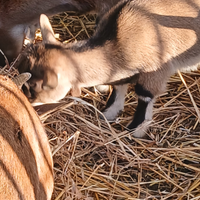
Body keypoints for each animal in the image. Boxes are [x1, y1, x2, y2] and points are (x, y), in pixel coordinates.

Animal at [16, 0, 200, 138]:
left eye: (35, 87)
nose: (29, 106)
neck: (118, 42)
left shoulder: (156, 70)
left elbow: (144, 95)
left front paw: (136, 130)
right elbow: (119, 86)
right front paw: (108, 114)